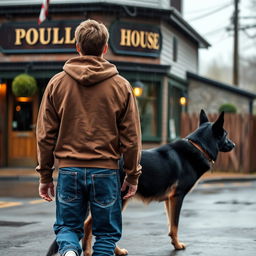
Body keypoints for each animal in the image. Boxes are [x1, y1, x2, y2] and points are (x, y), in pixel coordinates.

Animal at [47, 110, 235, 256]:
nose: (234, 144)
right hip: (120, 200)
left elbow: (170, 225)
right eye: (226, 135)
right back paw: (115, 250)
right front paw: (177, 245)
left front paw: (174, 243)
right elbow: (175, 224)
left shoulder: (169, 200)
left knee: (88, 224)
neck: (199, 146)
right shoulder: (178, 197)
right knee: (97, 226)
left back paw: (89, 251)